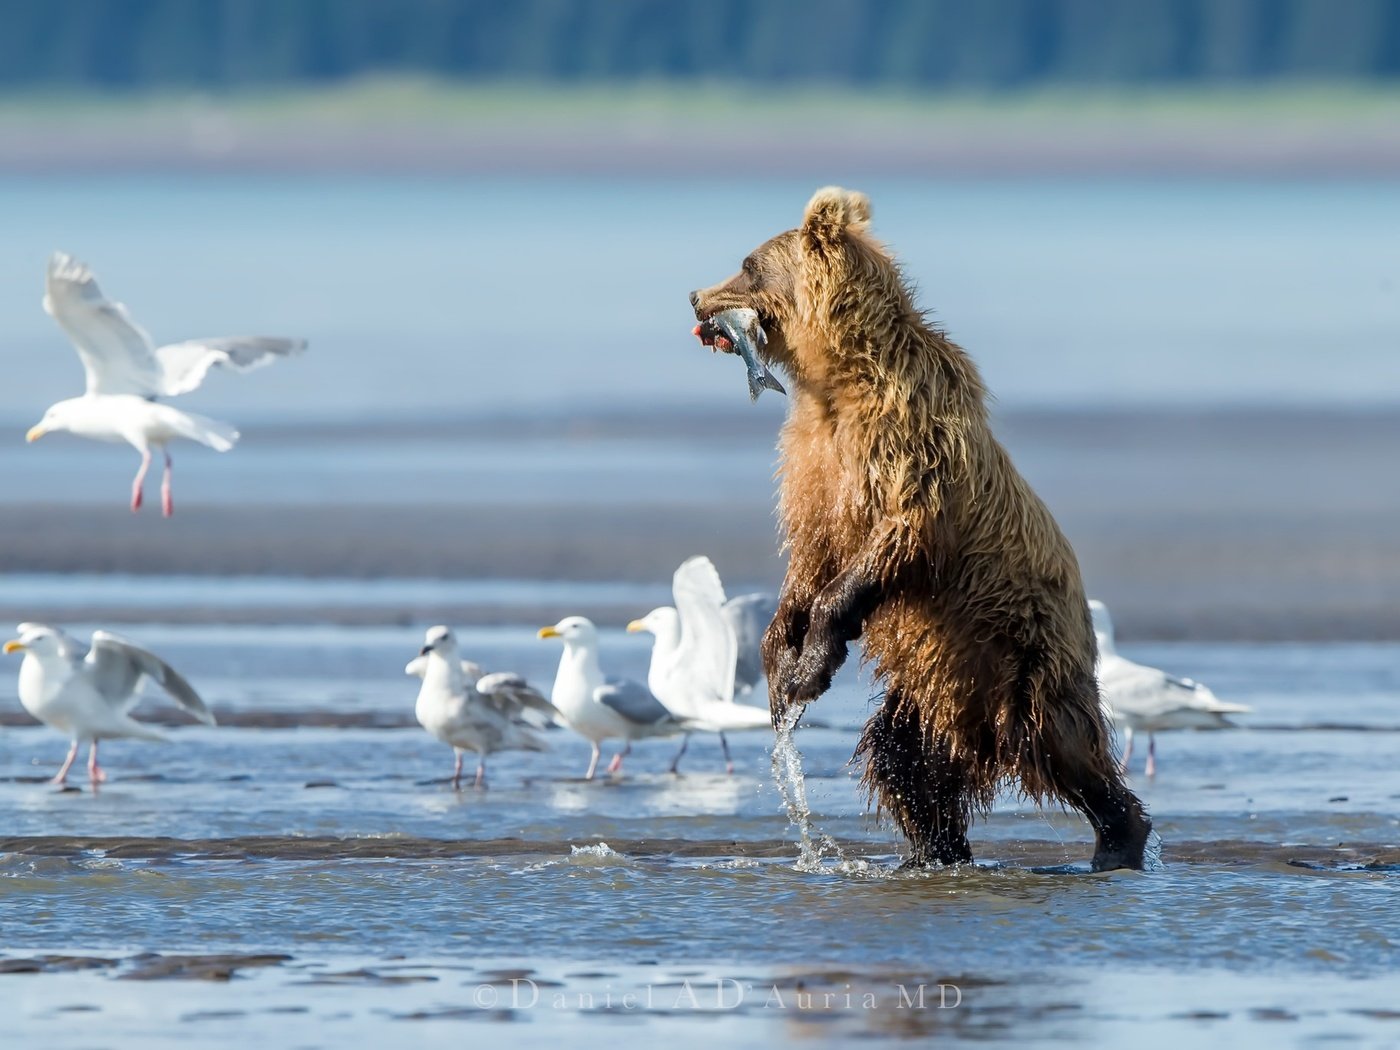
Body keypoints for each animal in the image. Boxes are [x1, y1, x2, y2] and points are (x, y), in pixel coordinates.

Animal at [688, 187, 1148, 873]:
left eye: (747, 265)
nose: (695, 296)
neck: (837, 381)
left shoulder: (910, 445)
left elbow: (893, 542)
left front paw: (810, 665)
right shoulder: (814, 467)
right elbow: (811, 556)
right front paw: (780, 657)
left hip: (1024, 653)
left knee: (1061, 746)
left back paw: (1119, 838)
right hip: (932, 686)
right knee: (904, 761)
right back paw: (934, 852)